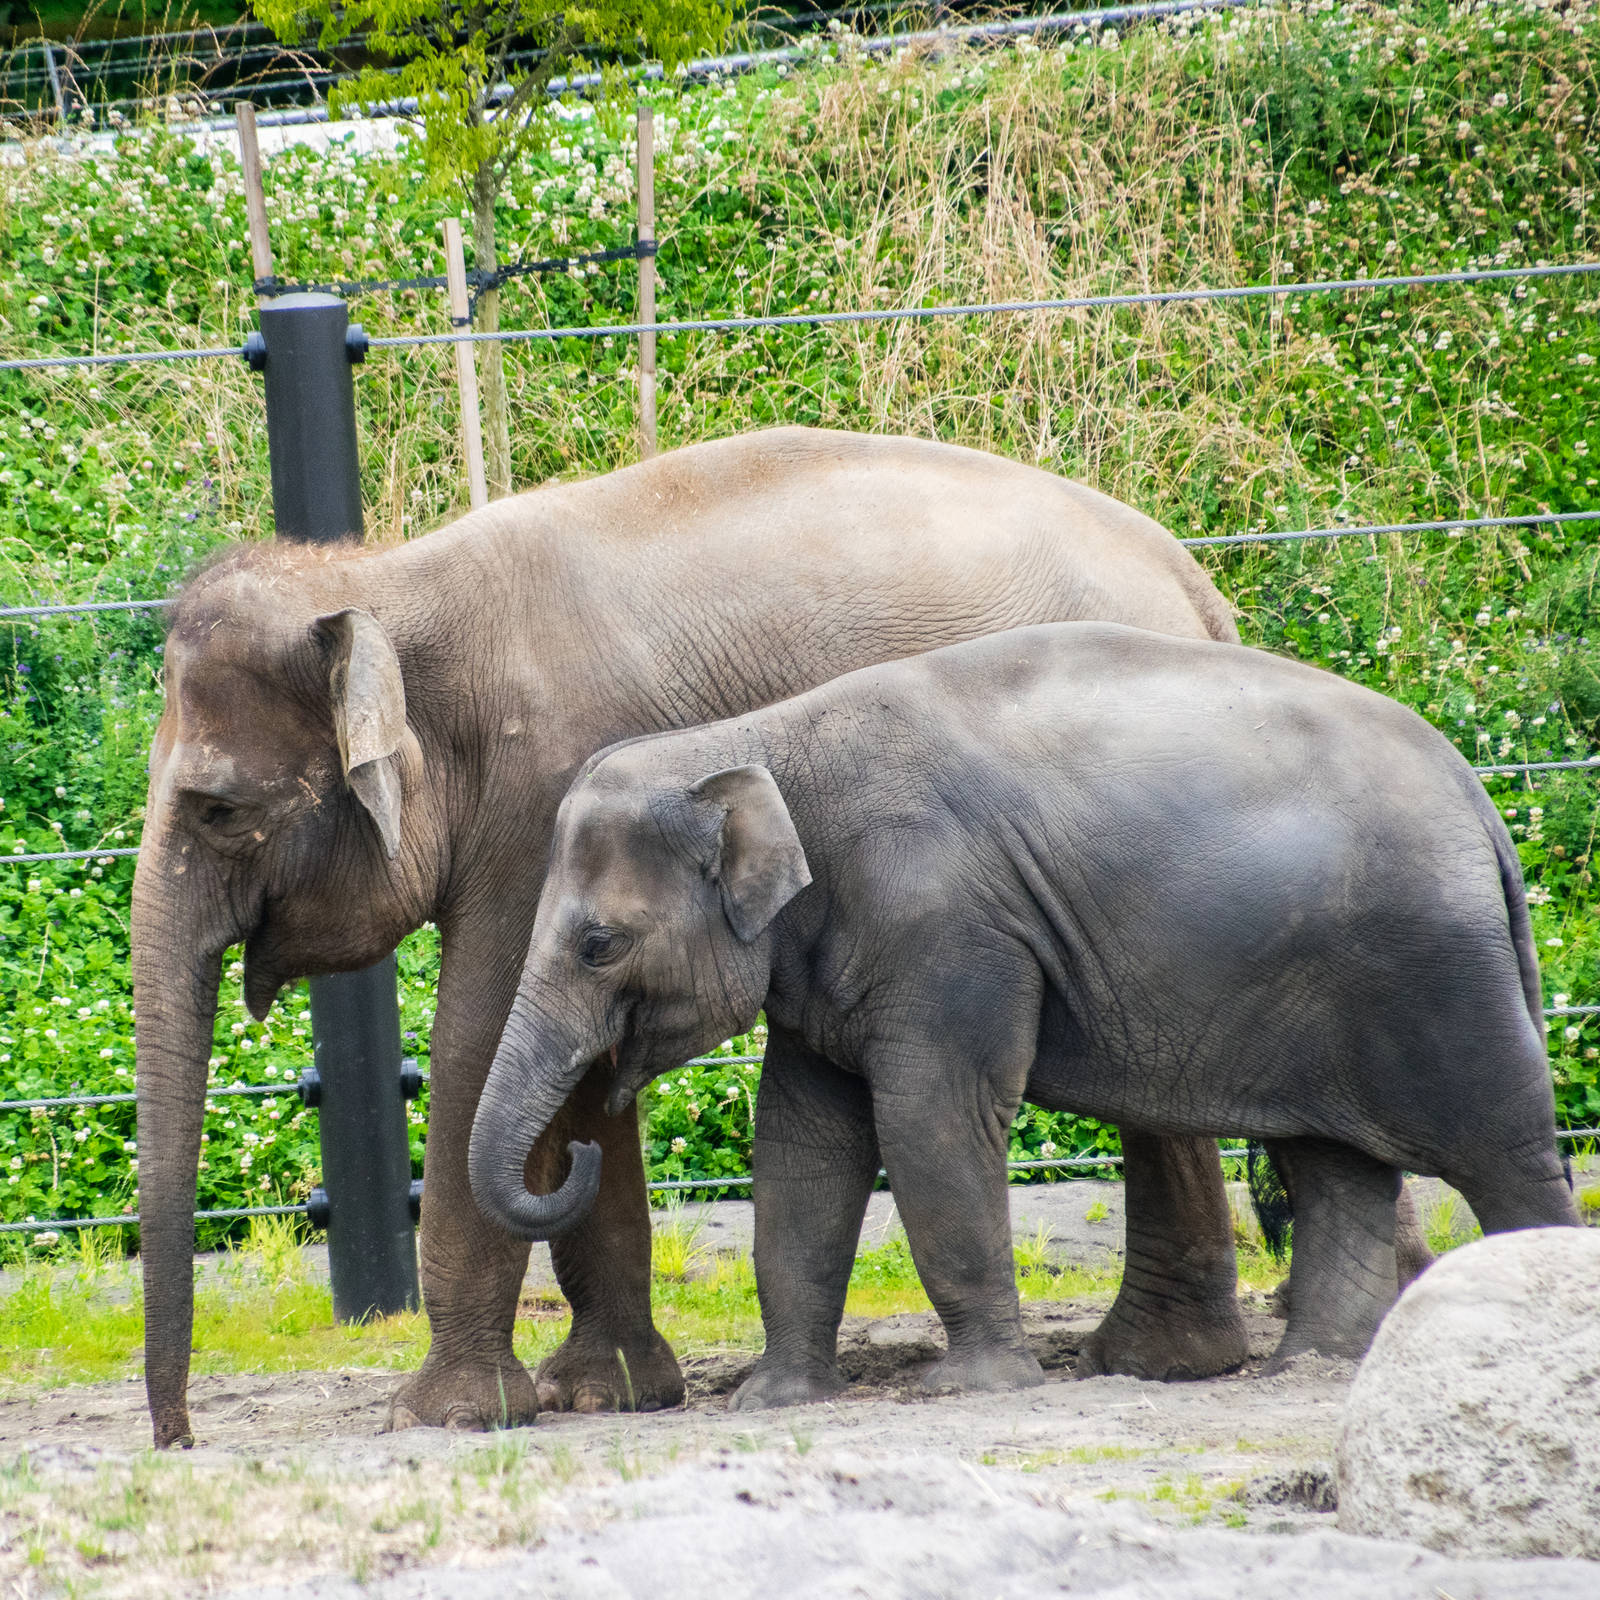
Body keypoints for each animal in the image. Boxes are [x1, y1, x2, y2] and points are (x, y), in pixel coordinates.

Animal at [133, 425, 1258, 1450]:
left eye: (218, 810)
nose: (180, 1441)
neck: (387, 577)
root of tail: (1195, 584)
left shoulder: (537, 800)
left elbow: (476, 1044)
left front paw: (444, 1415)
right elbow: (575, 1070)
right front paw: (610, 1394)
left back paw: (1156, 1359)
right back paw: (1165, 1360)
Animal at [469, 621, 1577, 1406]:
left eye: (598, 944)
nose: (581, 1144)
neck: (760, 738)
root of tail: (1480, 799)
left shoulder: (948, 928)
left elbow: (930, 1120)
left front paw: (970, 1388)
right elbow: (801, 1146)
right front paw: (773, 1400)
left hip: (1437, 973)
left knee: (1504, 1147)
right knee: (1335, 1167)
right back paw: (1307, 1369)